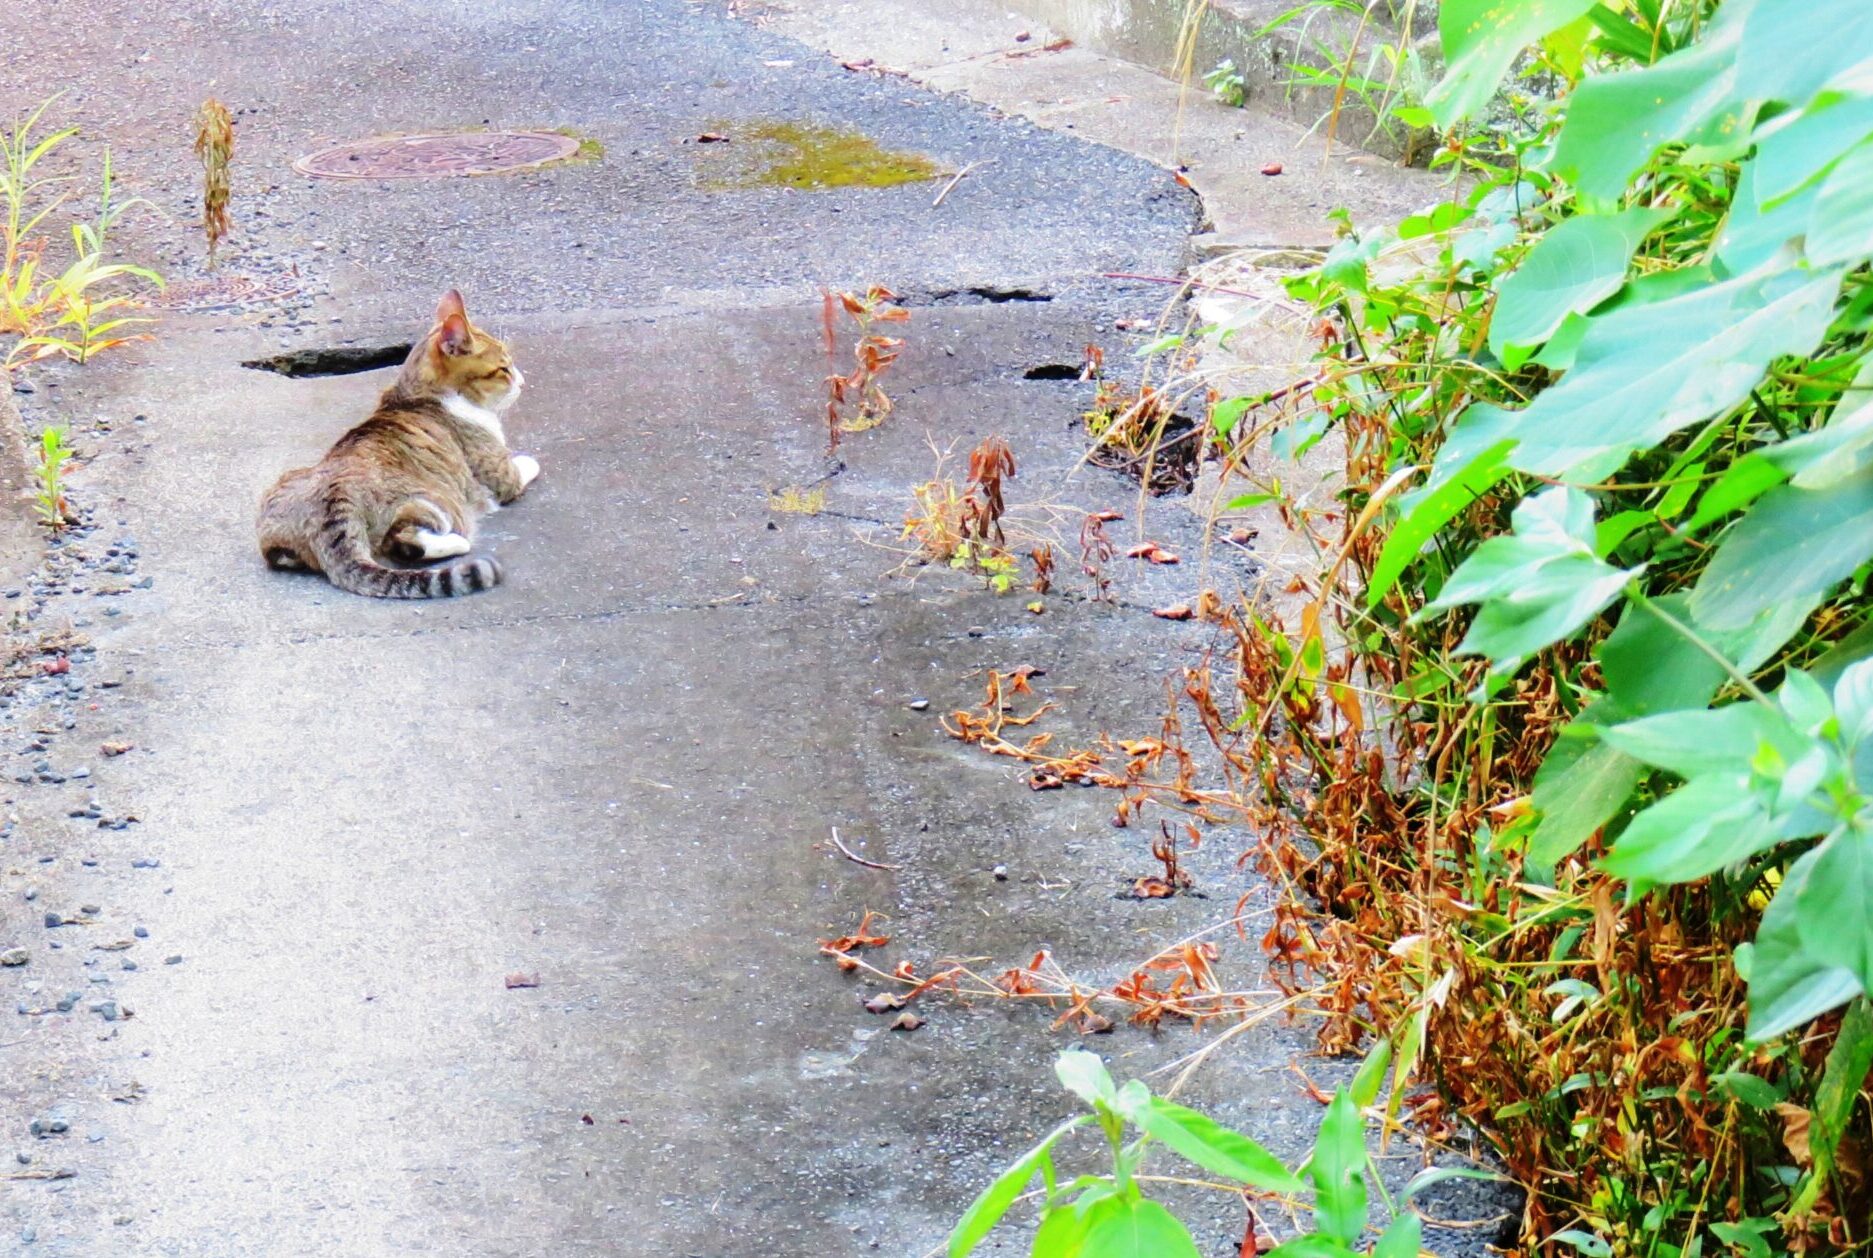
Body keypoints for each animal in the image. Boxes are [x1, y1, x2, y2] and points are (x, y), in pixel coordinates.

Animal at [256, 290, 539, 599]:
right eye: (503, 369)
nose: (523, 382)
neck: (418, 394)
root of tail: (335, 502)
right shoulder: (502, 475)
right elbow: (525, 465)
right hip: (436, 502)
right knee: (405, 542)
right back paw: (459, 541)